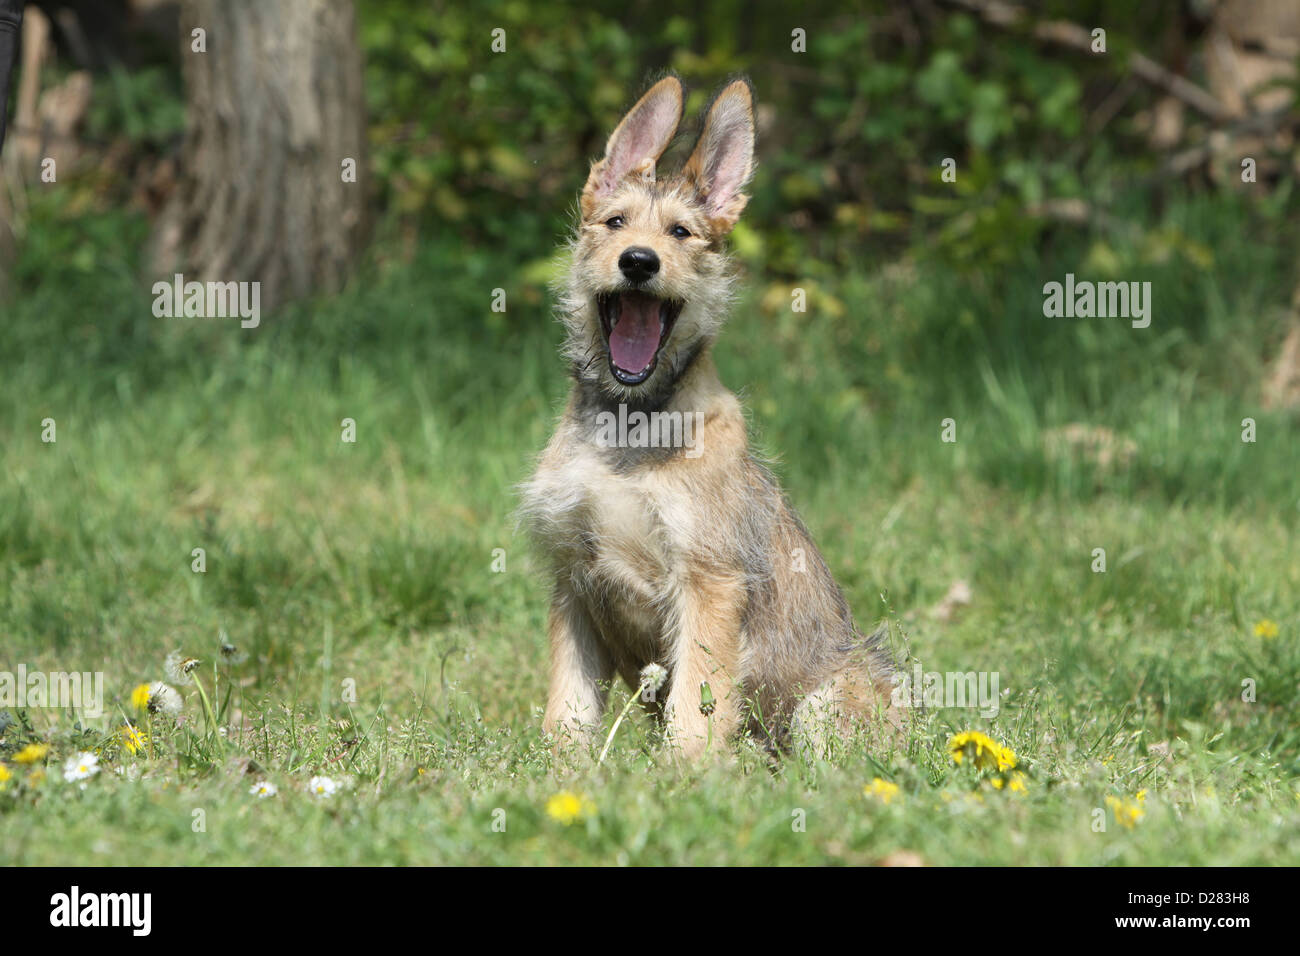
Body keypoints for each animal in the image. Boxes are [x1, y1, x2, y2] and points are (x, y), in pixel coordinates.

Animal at [517, 74, 894, 764]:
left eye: (682, 233)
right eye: (614, 222)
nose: (639, 261)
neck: (630, 426)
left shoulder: (708, 581)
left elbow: (695, 702)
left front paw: (686, 774)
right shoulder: (574, 580)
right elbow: (569, 704)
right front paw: (559, 769)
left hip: (830, 699)